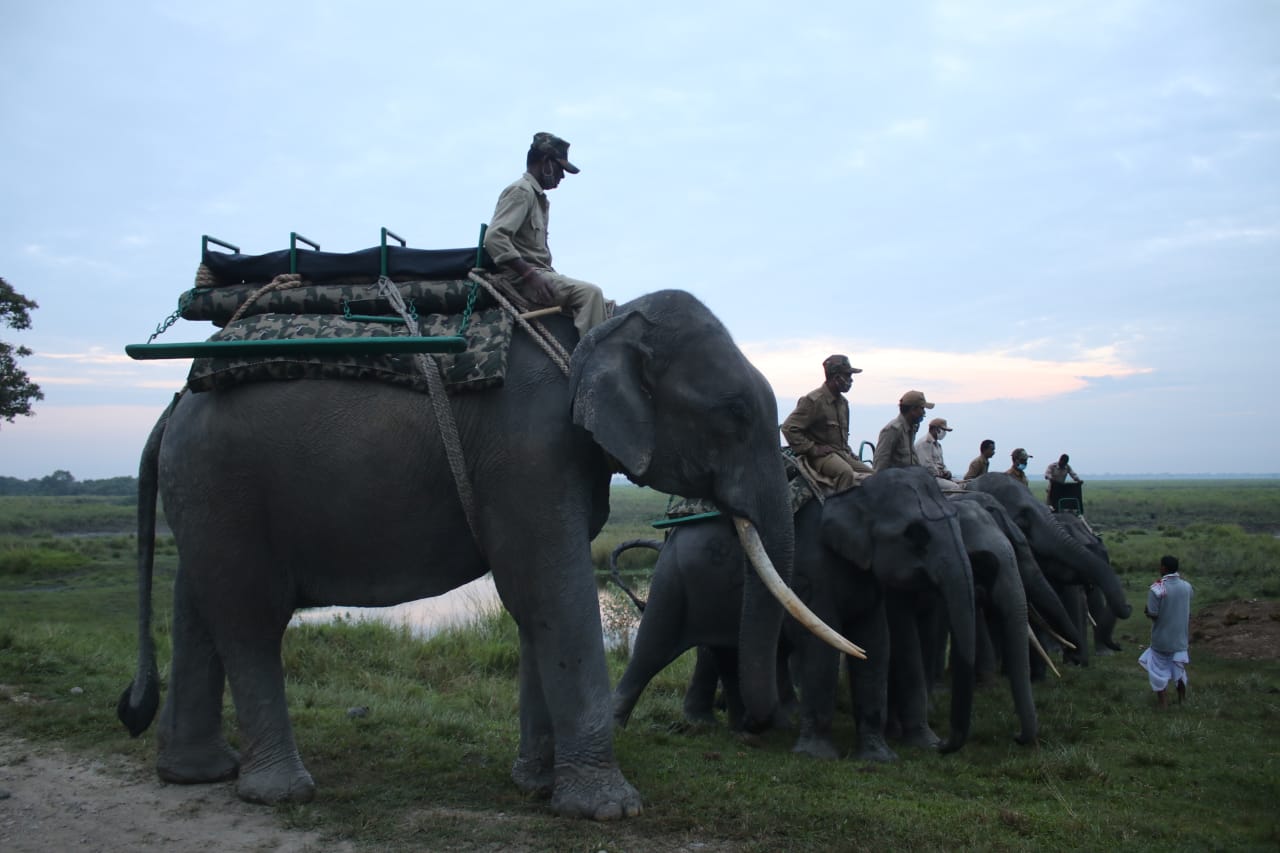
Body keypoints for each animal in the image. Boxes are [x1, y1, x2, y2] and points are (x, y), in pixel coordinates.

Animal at [115, 286, 855, 819]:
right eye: (734, 413)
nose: (758, 726)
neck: (598, 328)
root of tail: (171, 405)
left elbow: (537, 603)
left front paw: (536, 787)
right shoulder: (527, 451)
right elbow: (552, 588)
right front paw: (609, 810)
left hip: (205, 492)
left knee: (198, 602)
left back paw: (198, 772)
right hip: (224, 482)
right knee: (249, 617)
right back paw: (280, 792)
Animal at [614, 468, 972, 758]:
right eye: (916, 535)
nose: (943, 747)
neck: (855, 492)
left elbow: (875, 645)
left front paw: (879, 758)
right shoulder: (810, 572)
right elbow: (821, 648)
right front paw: (818, 756)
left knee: (729, 655)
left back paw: (745, 731)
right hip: (673, 580)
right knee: (652, 649)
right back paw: (618, 728)